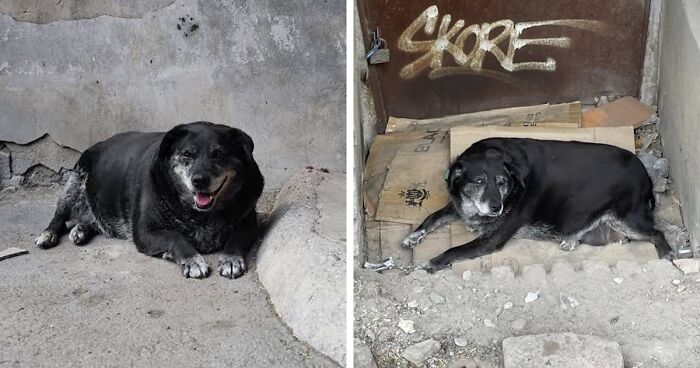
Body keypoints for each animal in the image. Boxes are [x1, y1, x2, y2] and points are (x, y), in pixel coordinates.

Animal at [33, 121, 262, 278]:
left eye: (218, 154)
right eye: (187, 154)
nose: (199, 181)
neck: (201, 214)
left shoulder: (249, 223)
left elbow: (236, 238)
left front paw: (231, 258)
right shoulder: (144, 233)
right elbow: (174, 237)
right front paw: (192, 260)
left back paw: (81, 229)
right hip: (74, 183)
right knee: (59, 215)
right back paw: (48, 234)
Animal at [402, 138, 676, 274]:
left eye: (501, 182)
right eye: (478, 181)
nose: (496, 207)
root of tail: (645, 175)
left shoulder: (491, 240)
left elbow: (454, 250)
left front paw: (433, 262)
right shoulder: (459, 205)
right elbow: (432, 217)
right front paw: (414, 235)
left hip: (627, 219)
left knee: (657, 233)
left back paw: (667, 253)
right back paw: (570, 240)